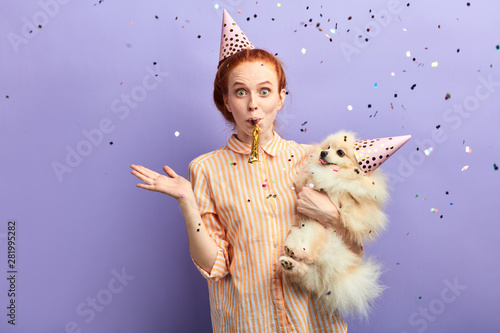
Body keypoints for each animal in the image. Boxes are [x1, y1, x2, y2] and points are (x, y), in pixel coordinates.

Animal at [280, 129, 388, 316]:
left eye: (340, 152)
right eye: (328, 147)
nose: (323, 153)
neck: (335, 173)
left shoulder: (361, 199)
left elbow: (351, 200)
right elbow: (309, 179)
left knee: (309, 263)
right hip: (309, 230)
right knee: (307, 266)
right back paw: (290, 259)